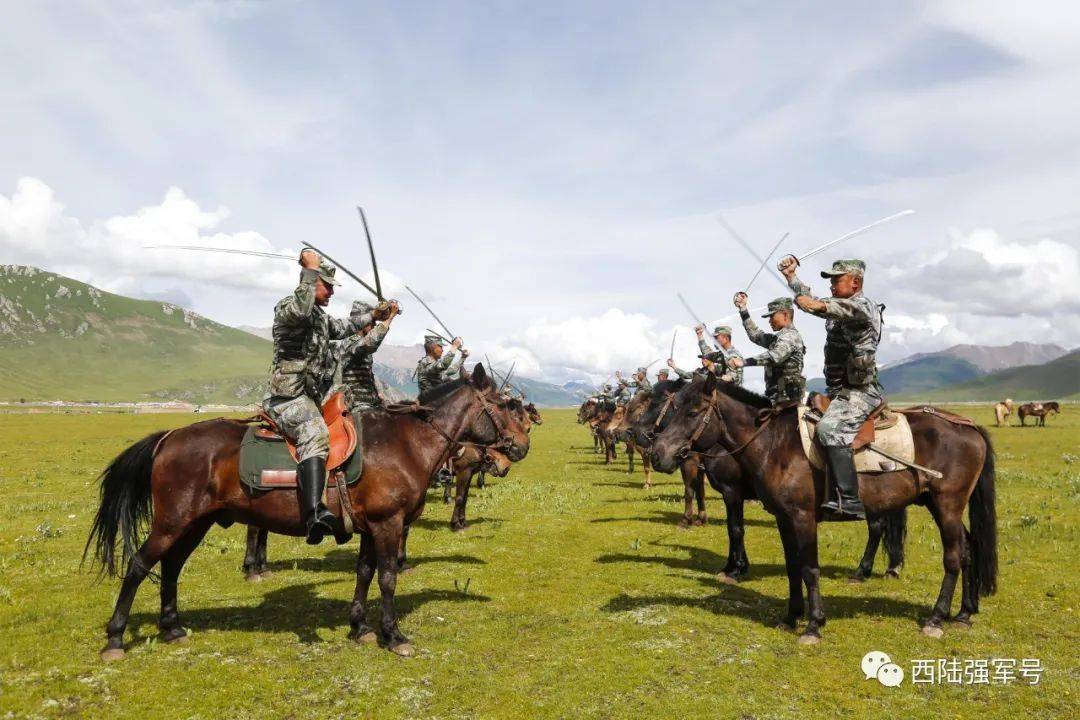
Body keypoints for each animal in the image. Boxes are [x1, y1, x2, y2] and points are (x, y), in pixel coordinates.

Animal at [84, 369, 527, 660]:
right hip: (172, 522)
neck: (405, 443)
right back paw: (115, 639)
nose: (519, 448)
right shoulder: (388, 525)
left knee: (172, 567)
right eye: (505, 405)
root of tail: (169, 437)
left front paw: (360, 627)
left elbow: (364, 573)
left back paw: (173, 628)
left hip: (196, 523)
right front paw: (393, 635)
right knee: (139, 565)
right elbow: (387, 579)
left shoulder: (370, 528)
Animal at [648, 375, 993, 643]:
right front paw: (791, 617)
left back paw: (936, 618)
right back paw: (964, 613)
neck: (774, 444)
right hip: (940, 506)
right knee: (968, 549)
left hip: (947, 505)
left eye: (693, 411)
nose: (657, 453)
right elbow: (792, 567)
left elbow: (809, 568)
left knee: (952, 557)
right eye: (673, 408)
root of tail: (969, 426)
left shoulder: (801, 517)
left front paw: (813, 625)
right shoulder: (784, 519)